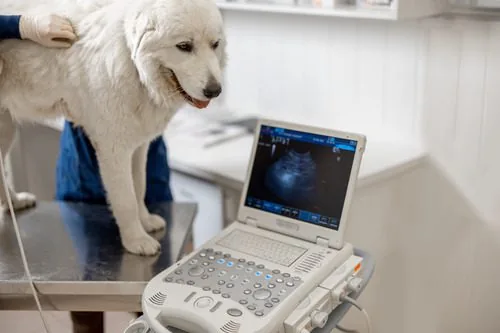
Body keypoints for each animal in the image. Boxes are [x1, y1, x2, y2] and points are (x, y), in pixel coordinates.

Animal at [0, 0, 227, 254]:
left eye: (215, 44)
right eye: (184, 46)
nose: (215, 90)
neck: (133, 65)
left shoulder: (138, 147)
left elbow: (139, 187)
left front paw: (145, 221)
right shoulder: (113, 150)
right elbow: (126, 199)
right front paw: (136, 240)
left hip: (6, 130)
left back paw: (15, 202)